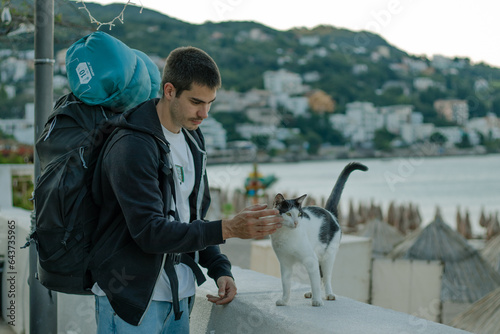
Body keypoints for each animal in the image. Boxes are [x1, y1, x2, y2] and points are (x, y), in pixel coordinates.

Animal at [272, 161, 370, 306]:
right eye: (288, 214)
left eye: (299, 214)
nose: (296, 223)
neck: (286, 235)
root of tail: (329, 212)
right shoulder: (285, 264)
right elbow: (286, 284)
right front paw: (284, 300)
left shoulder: (310, 258)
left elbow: (316, 281)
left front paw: (317, 301)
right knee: (319, 276)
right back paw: (311, 293)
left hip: (328, 257)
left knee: (326, 277)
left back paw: (328, 294)